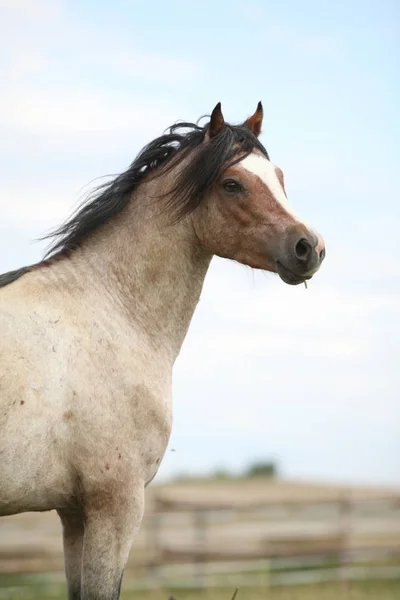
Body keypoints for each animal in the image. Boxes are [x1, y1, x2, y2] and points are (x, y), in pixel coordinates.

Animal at [0, 102, 324, 596]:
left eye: (279, 177)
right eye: (233, 184)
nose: (310, 247)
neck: (110, 310)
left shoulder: (73, 514)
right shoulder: (115, 506)